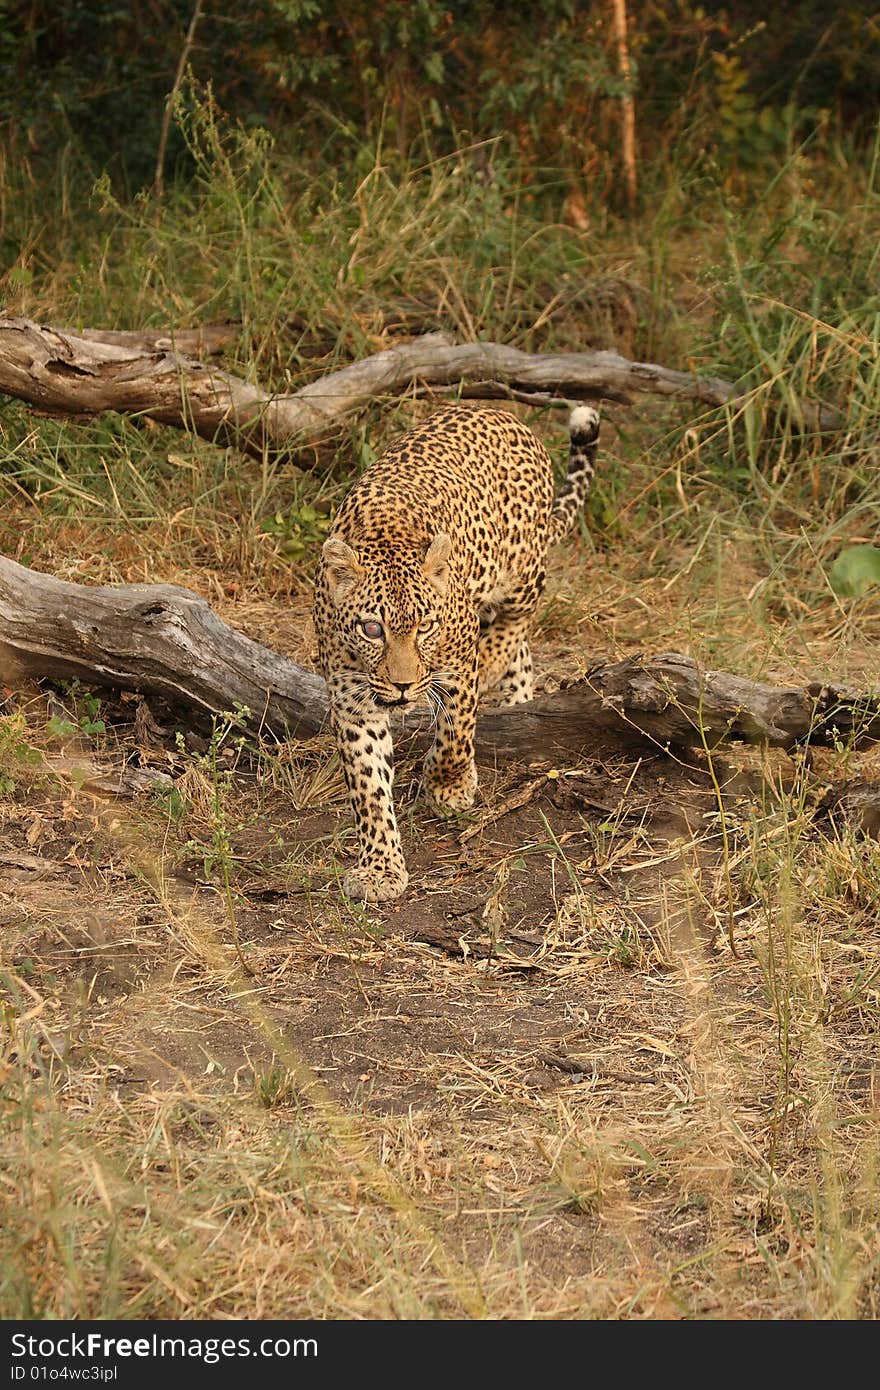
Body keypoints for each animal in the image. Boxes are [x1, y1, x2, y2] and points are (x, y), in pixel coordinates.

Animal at [310, 403, 597, 900]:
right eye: (371, 629)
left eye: (426, 626)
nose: (403, 687)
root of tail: (503, 413)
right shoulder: (351, 697)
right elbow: (368, 785)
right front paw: (381, 868)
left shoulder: (456, 668)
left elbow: (455, 735)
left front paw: (449, 787)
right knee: (520, 655)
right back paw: (517, 699)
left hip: (524, 570)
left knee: (516, 624)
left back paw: (495, 663)